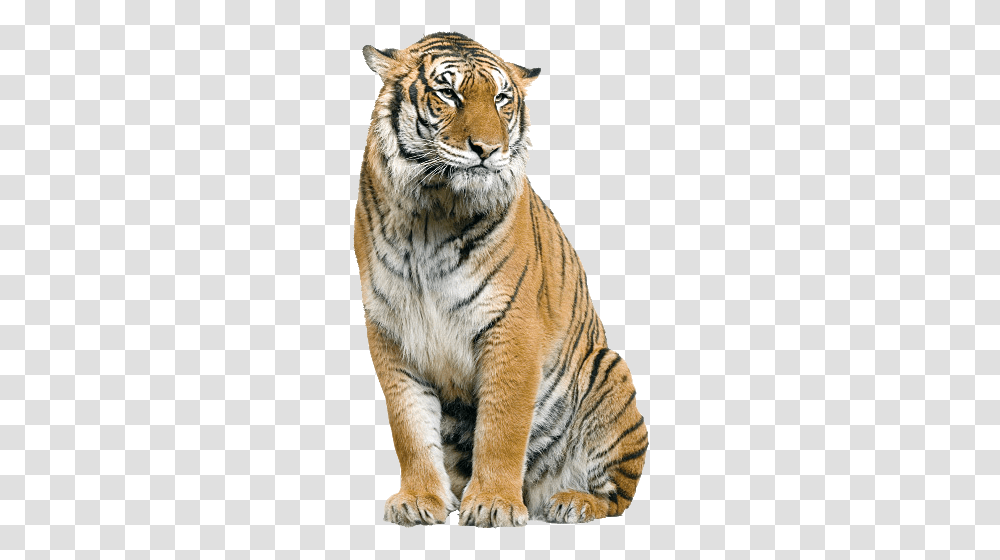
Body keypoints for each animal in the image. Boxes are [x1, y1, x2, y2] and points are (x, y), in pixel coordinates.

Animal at [354, 32, 648, 527]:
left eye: (501, 98)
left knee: (616, 496)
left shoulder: (511, 327)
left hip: (609, 370)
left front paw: (492, 503)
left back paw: (572, 502)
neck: (430, 213)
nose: (487, 149)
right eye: (448, 93)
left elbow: (502, 426)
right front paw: (419, 500)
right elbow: (409, 426)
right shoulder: (391, 331)